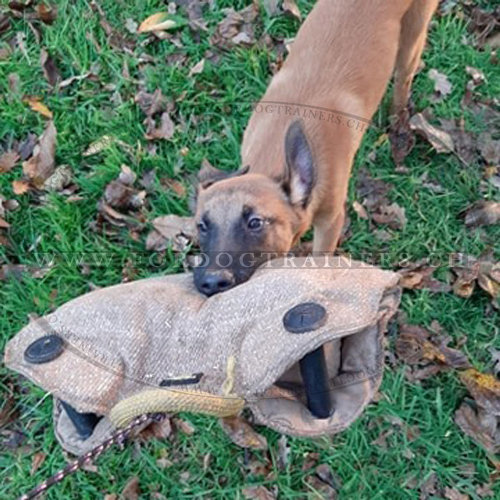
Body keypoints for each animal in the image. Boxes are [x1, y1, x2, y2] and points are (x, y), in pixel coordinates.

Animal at [193, 0, 436, 294]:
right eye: (201, 225)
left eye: (255, 223)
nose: (212, 282)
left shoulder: (331, 220)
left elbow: (321, 257)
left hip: (413, 35)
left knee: (403, 78)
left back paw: (396, 119)